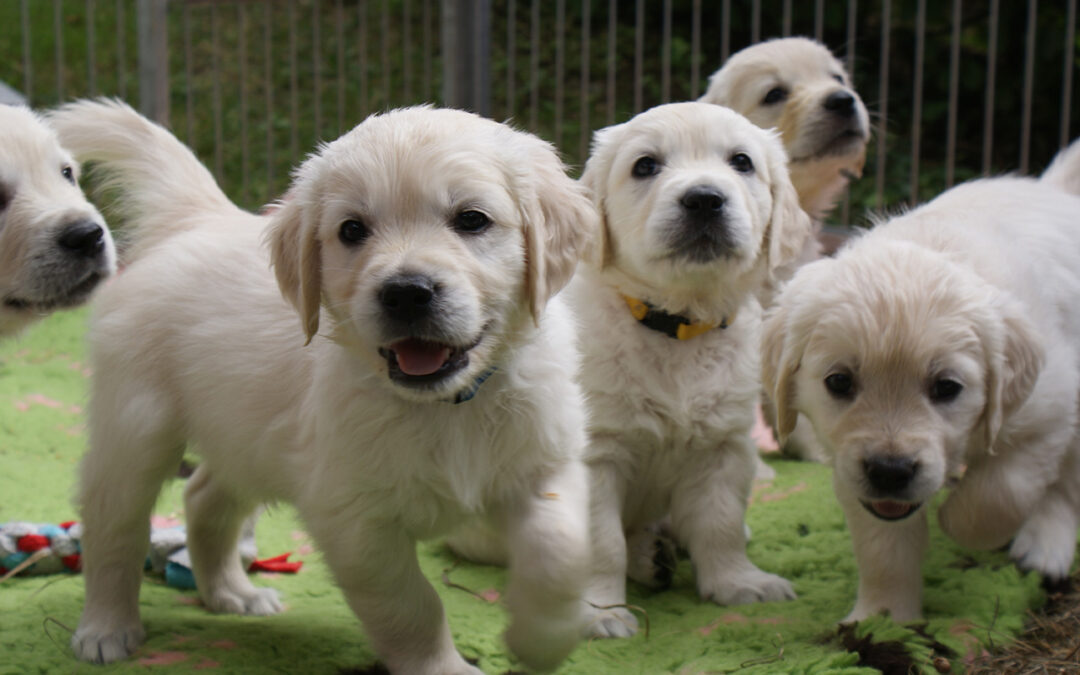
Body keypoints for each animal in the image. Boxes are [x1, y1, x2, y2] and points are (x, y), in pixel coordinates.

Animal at [50, 99, 600, 673]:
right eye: (352, 230)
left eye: (472, 219)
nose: (407, 292)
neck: (449, 404)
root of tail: (196, 217)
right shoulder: (354, 519)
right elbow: (412, 604)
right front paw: (443, 667)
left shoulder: (546, 463)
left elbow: (562, 551)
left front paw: (541, 639)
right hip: (137, 428)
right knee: (113, 526)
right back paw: (106, 629)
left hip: (247, 437)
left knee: (202, 498)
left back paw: (233, 594)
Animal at [574, 102, 812, 635]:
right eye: (645, 166)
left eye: (742, 162)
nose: (704, 199)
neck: (677, 326)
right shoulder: (594, 455)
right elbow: (601, 543)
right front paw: (599, 612)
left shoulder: (723, 446)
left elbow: (719, 523)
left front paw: (738, 583)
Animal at [760, 142, 1080, 622]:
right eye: (839, 382)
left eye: (947, 388)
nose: (890, 472)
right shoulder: (853, 468)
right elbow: (884, 547)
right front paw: (883, 618)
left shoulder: (1049, 409)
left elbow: (1002, 492)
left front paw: (957, 521)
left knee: (1066, 485)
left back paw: (1045, 546)